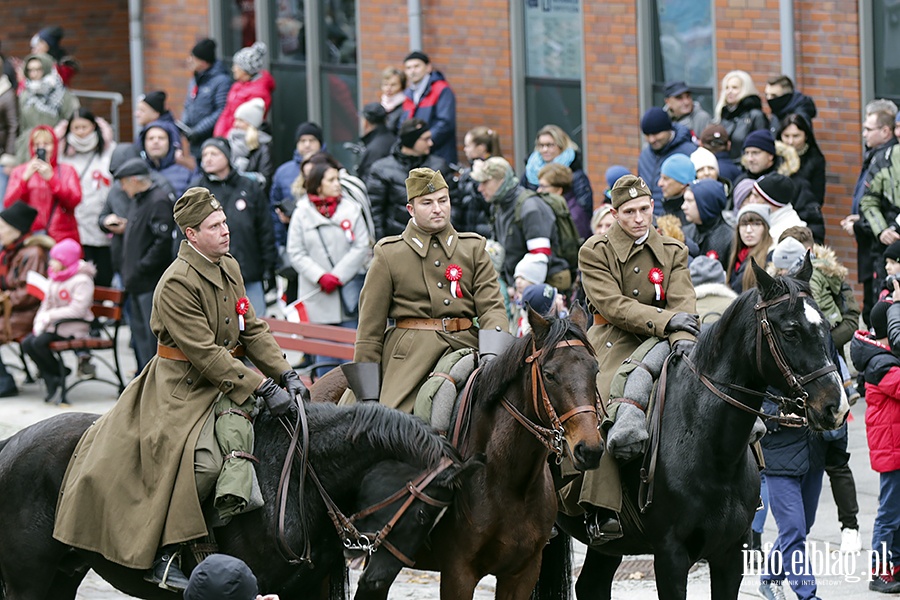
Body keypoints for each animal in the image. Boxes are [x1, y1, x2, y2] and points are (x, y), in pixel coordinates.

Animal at [0, 398, 478, 600]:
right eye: (421, 513)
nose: (376, 581)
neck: (299, 478)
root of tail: (12, 444)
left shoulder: (304, 591)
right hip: (28, 581)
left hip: (62, 576)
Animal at [312, 308, 600, 596]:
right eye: (550, 374)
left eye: (595, 370)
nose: (590, 449)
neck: (507, 480)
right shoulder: (458, 573)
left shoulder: (522, 574)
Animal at [544, 258, 848, 600]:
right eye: (791, 331)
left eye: (825, 326)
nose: (835, 406)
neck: (711, 449)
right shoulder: (670, 556)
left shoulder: (730, 555)